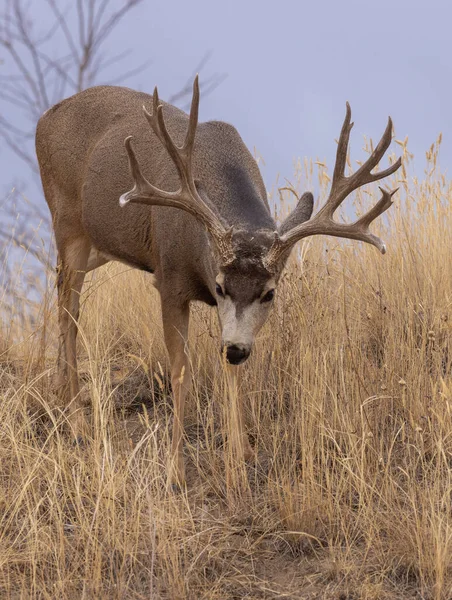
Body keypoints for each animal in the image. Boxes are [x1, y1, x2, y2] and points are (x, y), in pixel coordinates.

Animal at [36, 75, 402, 488]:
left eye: (269, 293)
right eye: (221, 285)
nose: (237, 349)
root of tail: (44, 119)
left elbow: (232, 374)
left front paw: (242, 457)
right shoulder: (169, 281)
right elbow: (180, 372)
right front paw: (175, 471)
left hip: (96, 245)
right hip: (67, 222)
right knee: (69, 311)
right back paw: (77, 422)